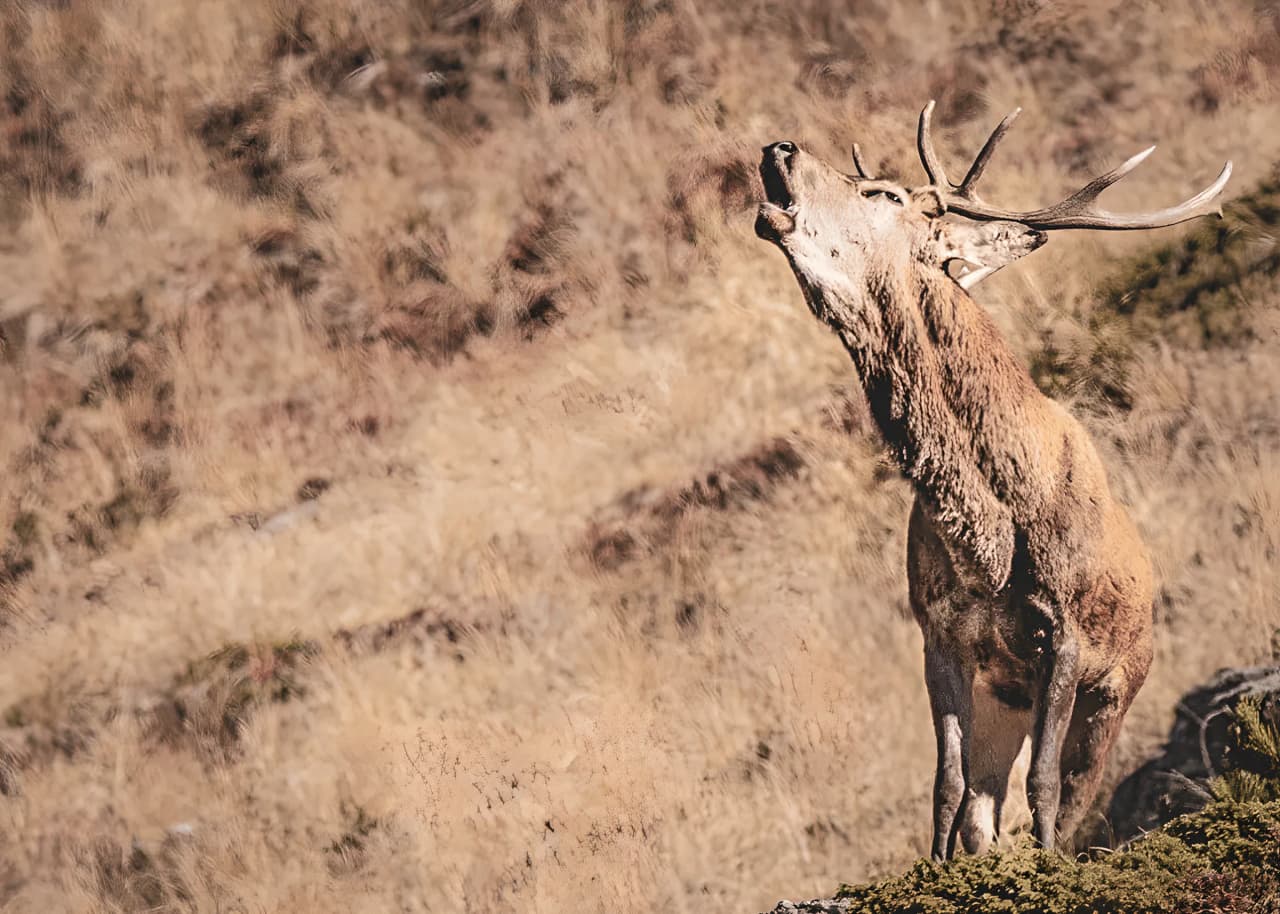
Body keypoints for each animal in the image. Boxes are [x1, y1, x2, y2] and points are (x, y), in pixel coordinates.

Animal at [755, 102, 1232, 859]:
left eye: (885, 195)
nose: (780, 146)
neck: (990, 539)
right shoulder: (940, 632)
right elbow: (947, 790)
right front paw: (941, 869)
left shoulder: (1066, 634)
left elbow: (1046, 787)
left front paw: (1044, 867)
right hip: (1003, 696)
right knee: (984, 805)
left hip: (1119, 688)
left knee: (1076, 794)